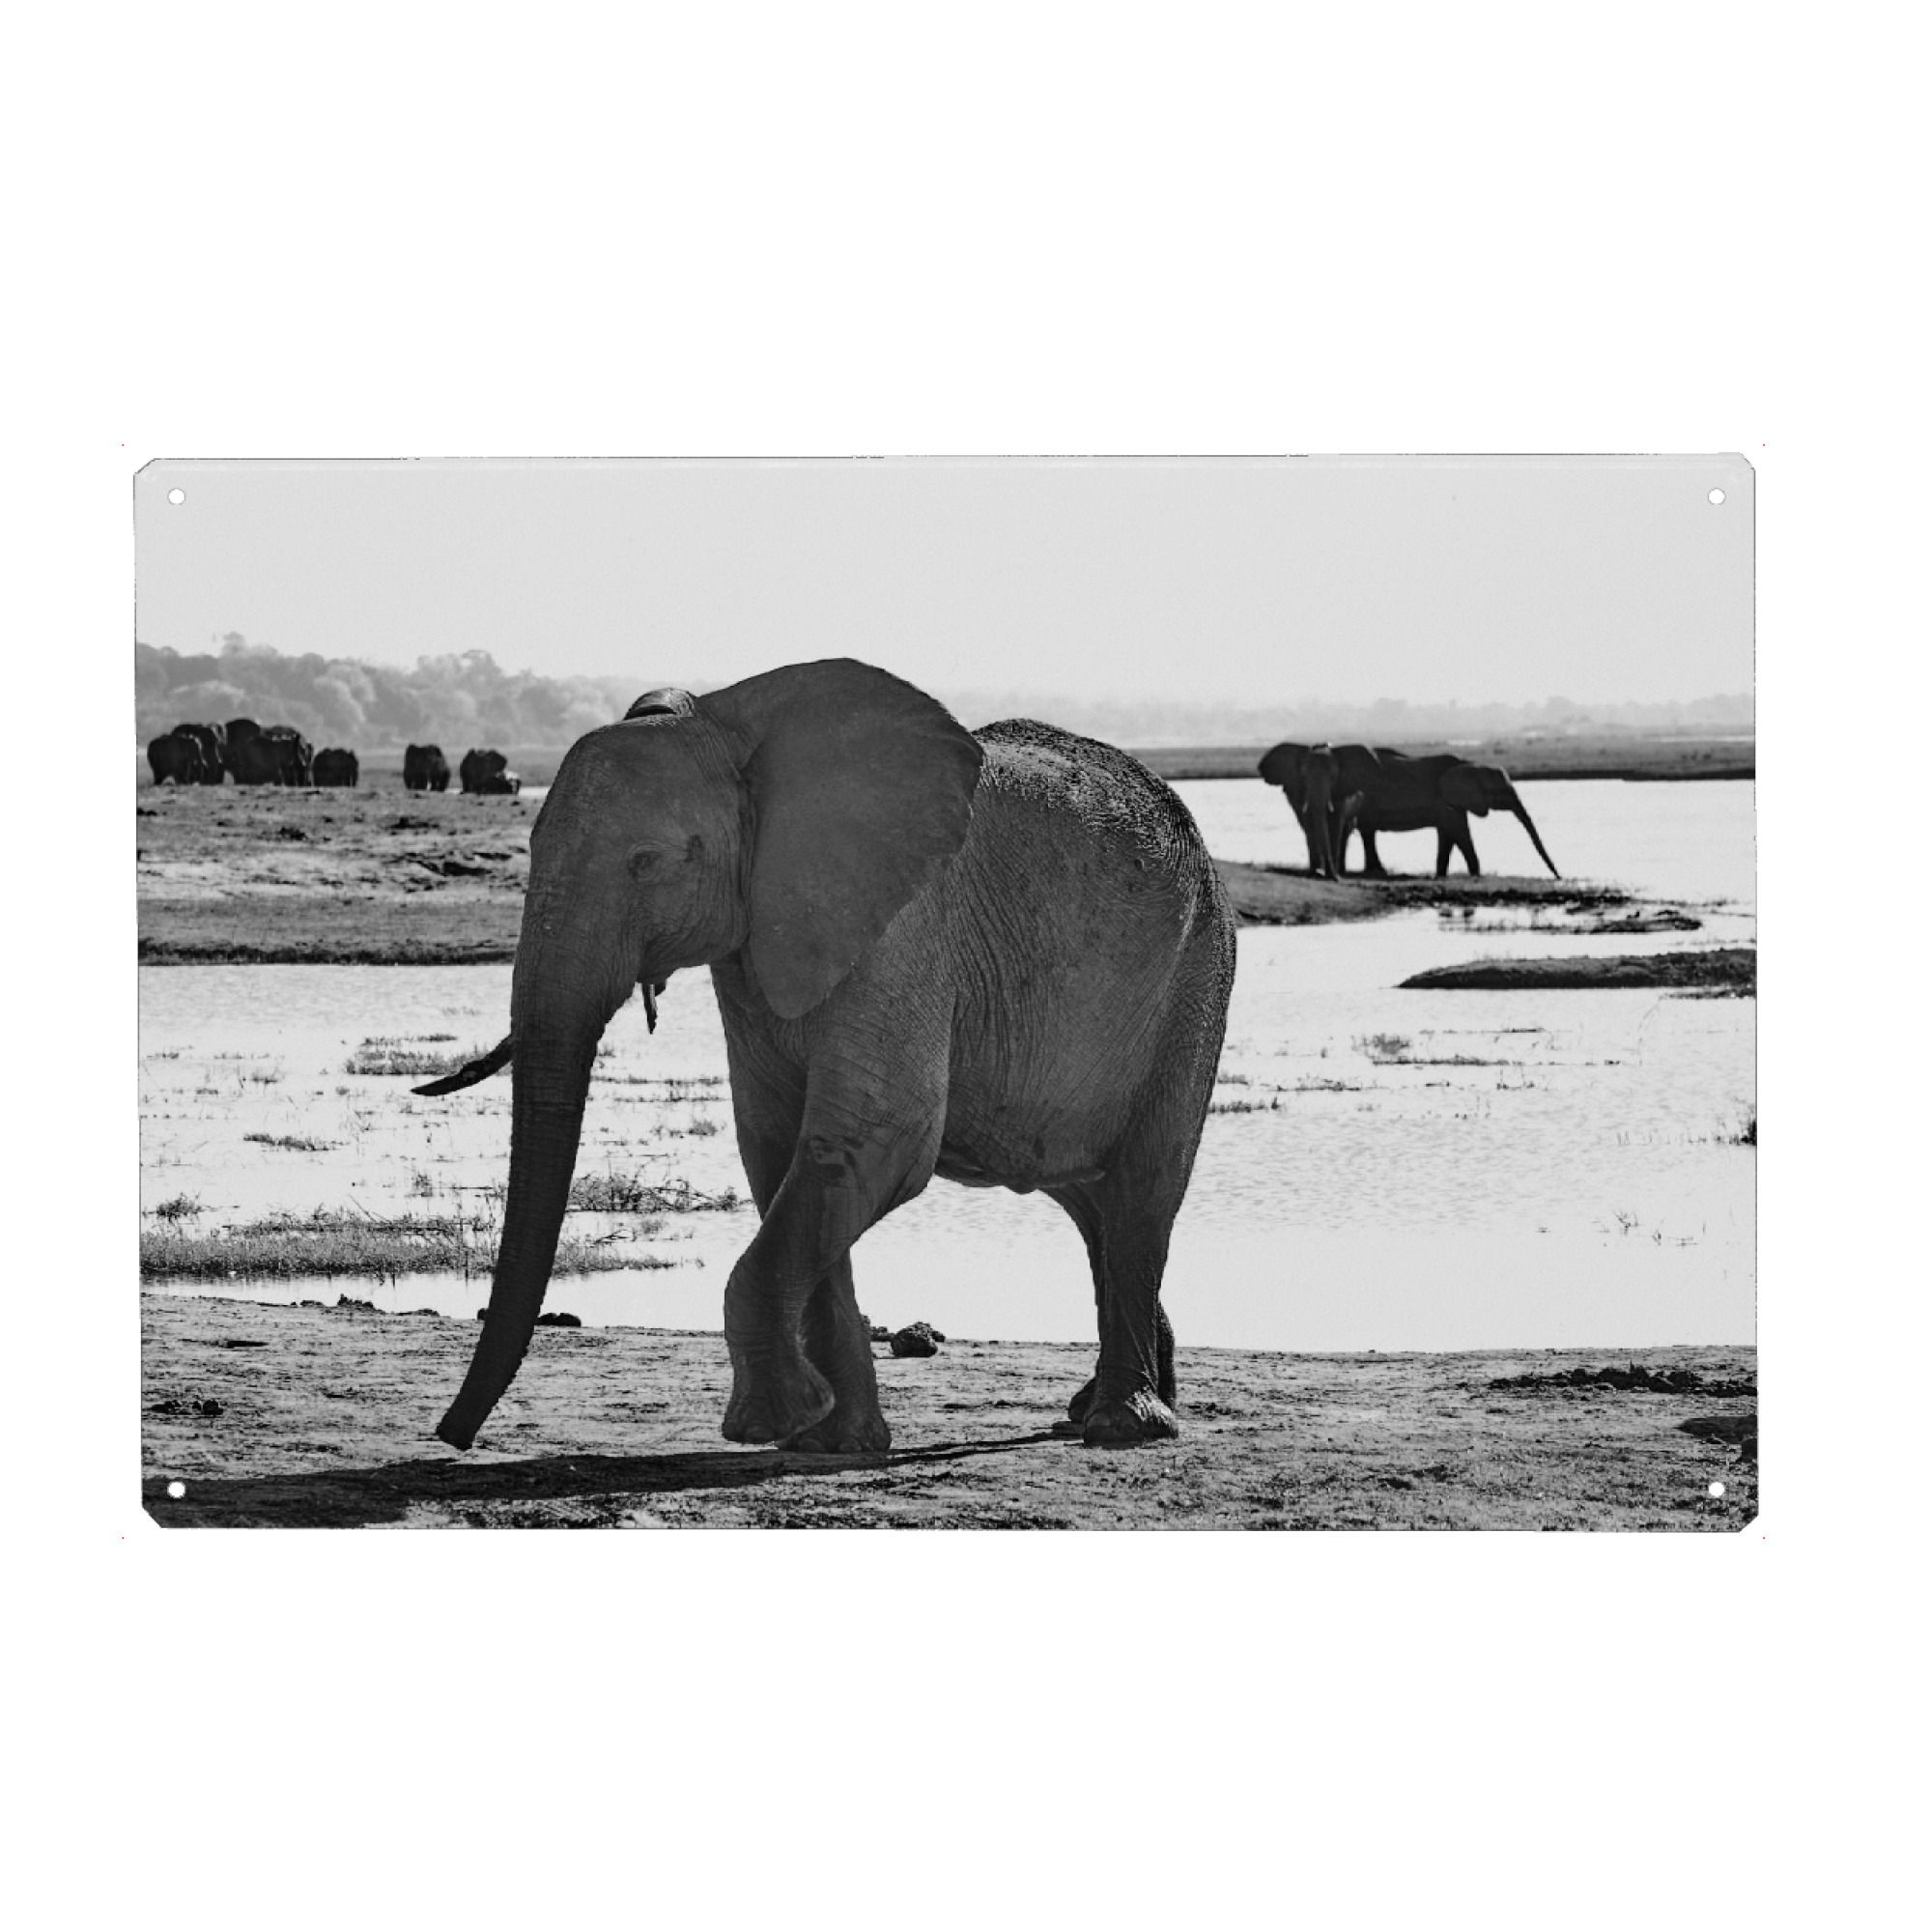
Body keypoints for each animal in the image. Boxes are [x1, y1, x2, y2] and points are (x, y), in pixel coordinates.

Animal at [414, 659, 1237, 1455]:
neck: (730, 724)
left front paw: (770, 1424)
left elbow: (874, 1137)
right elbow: (783, 1149)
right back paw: (1098, 1407)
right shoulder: (757, 940)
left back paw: (1123, 1426)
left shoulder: (901, 925)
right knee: (1091, 1200)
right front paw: (832, 1439)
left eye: (647, 864)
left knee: (1142, 1188)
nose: (454, 1436)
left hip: (1197, 978)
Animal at [1260, 741, 1560, 879]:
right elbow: (1459, 833)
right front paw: (1476, 875)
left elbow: (1449, 835)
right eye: (1500, 793)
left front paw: (1441, 876)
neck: (1469, 764)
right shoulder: (1447, 801)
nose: (1560, 877)